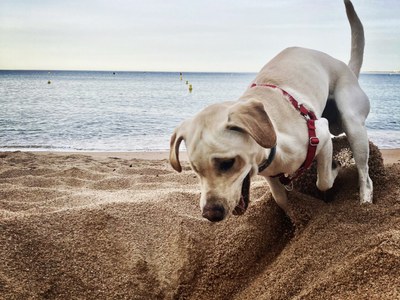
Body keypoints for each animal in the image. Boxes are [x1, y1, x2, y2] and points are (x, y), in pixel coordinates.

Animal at [168, 0, 372, 223]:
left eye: (227, 163)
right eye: (195, 169)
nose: (211, 214)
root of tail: (346, 67)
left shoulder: (322, 135)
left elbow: (324, 181)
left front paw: (334, 170)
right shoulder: (270, 176)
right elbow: (281, 199)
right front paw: (293, 218)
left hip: (351, 123)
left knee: (364, 172)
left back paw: (365, 202)